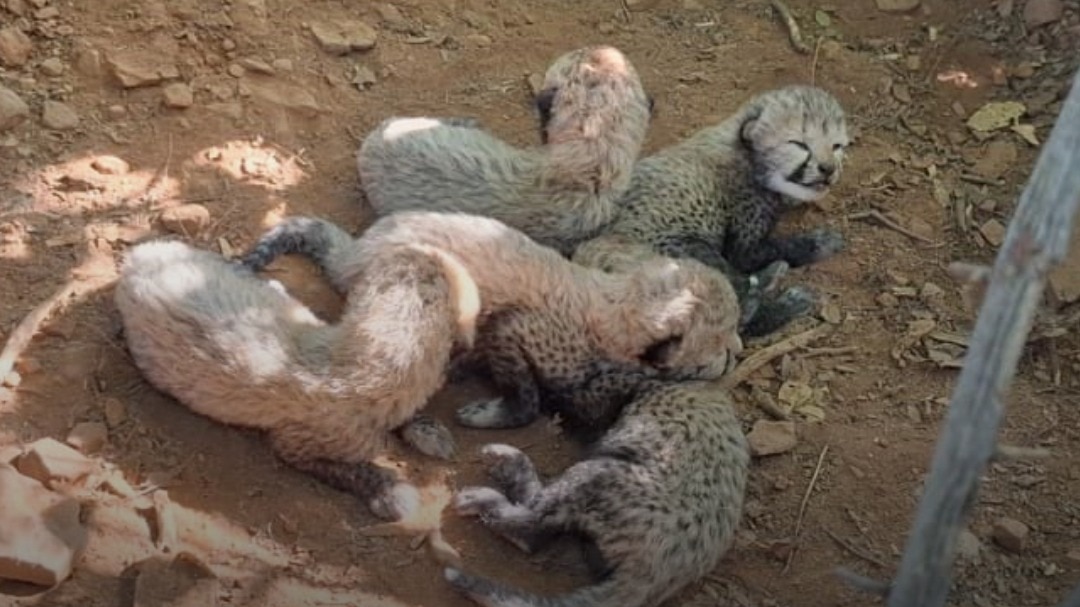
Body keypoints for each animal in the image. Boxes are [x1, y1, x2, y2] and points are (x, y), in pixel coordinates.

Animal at [574, 84, 851, 338]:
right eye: (799, 144)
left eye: (836, 145)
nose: (828, 169)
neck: (745, 153)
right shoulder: (744, 245)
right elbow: (767, 250)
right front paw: (820, 242)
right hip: (672, 250)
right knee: (738, 316)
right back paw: (779, 295)